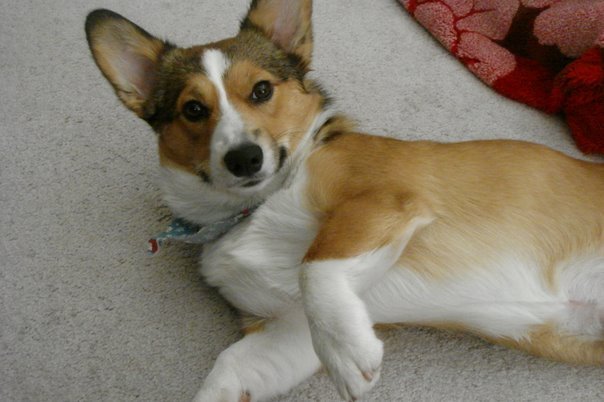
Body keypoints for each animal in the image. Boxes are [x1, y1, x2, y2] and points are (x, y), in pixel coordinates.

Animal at [85, 1, 604, 400]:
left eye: (261, 90)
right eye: (193, 109)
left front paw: (350, 356)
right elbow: (228, 371)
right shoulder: (287, 329)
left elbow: (316, 264)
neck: (255, 207)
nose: (245, 159)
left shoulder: (383, 200)